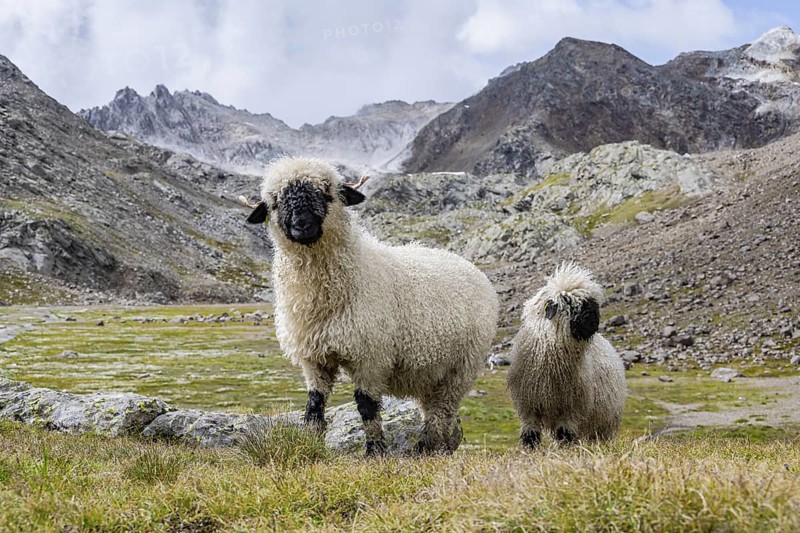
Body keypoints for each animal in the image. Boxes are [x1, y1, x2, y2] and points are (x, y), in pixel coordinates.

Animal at [245, 156, 498, 456]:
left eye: (327, 194)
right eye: (275, 202)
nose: (302, 225)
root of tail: (471, 268)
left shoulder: (370, 356)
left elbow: (366, 405)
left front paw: (375, 450)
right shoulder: (313, 357)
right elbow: (315, 402)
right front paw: (311, 441)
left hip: (462, 366)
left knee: (442, 409)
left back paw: (424, 447)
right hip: (430, 372)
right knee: (438, 410)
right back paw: (441, 447)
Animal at [506, 263, 626, 448]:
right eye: (568, 302)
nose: (594, 322)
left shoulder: (571, 409)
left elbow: (564, 434)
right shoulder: (529, 407)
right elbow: (530, 434)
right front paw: (530, 450)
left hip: (603, 422)